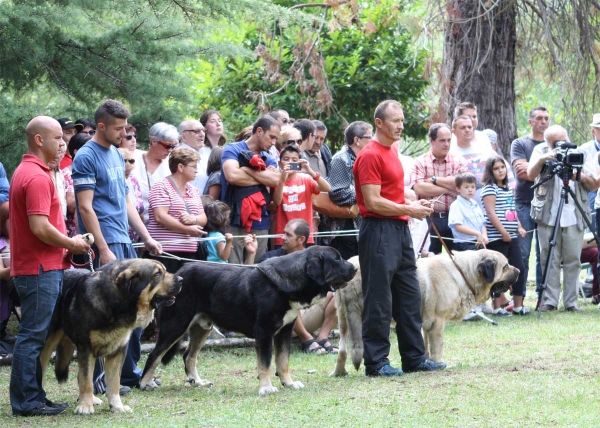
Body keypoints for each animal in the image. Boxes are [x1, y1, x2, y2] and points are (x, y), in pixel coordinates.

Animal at [39, 260, 182, 412]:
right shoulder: (86, 347)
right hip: (48, 343)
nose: (181, 279)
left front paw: (117, 406)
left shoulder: (119, 350)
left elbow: (113, 382)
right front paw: (85, 406)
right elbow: (86, 379)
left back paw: (93, 399)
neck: (114, 303)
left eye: (165, 270)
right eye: (157, 274)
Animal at [141, 246, 356, 396]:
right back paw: (145, 383)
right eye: (336, 259)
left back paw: (198, 381)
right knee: (155, 355)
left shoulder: (284, 331)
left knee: (189, 356)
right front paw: (266, 387)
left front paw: (288, 383)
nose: (354, 267)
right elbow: (265, 363)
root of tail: (179, 273)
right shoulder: (264, 332)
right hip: (175, 325)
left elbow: (283, 361)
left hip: (201, 327)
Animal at [330, 249, 516, 376]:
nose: (519, 271)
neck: (464, 273)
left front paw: (425, 362)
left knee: (342, 348)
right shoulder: (437, 322)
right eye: (506, 266)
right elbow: (437, 346)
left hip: (343, 318)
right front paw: (438, 363)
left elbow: (424, 345)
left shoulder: (426, 323)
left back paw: (339, 372)